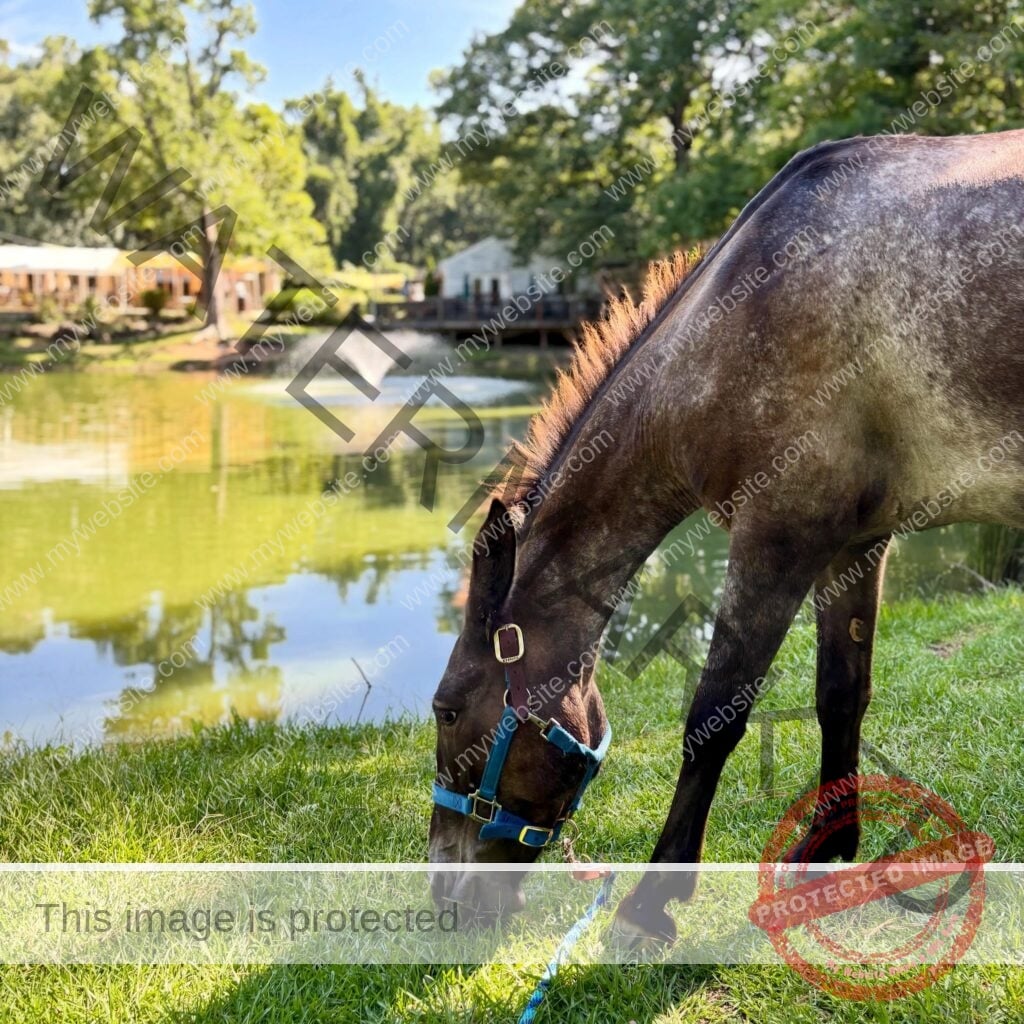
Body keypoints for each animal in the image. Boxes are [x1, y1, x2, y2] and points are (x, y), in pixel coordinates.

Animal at [428, 129, 1024, 940]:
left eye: (447, 709)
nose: (438, 893)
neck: (741, 316)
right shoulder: (854, 545)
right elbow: (842, 693)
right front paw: (828, 848)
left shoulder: (775, 538)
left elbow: (715, 715)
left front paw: (650, 905)